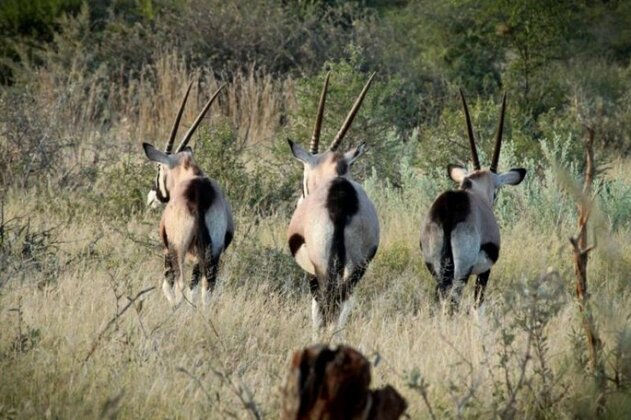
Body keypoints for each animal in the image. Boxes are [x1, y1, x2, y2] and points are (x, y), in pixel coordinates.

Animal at [143, 82, 235, 306]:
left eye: (158, 168)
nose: (151, 198)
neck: (192, 177)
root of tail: (199, 199)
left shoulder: (167, 248)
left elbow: (167, 285)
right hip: (212, 254)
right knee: (205, 288)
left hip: (179, 250)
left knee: (181, 285)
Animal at [288, 74, 380, 332]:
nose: (300, 198)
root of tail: (339, 200)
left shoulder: (310, 270)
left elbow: (316, 308)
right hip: (356, 266)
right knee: (342, 302)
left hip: (323, 266)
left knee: (327, 302)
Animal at [420, 90, 528, 310]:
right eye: (496, 191)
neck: (474, 190)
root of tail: (449, 210)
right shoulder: (485, 270)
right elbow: (479, 303)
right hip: (462, 271)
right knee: (454, 301)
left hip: (437, 269)